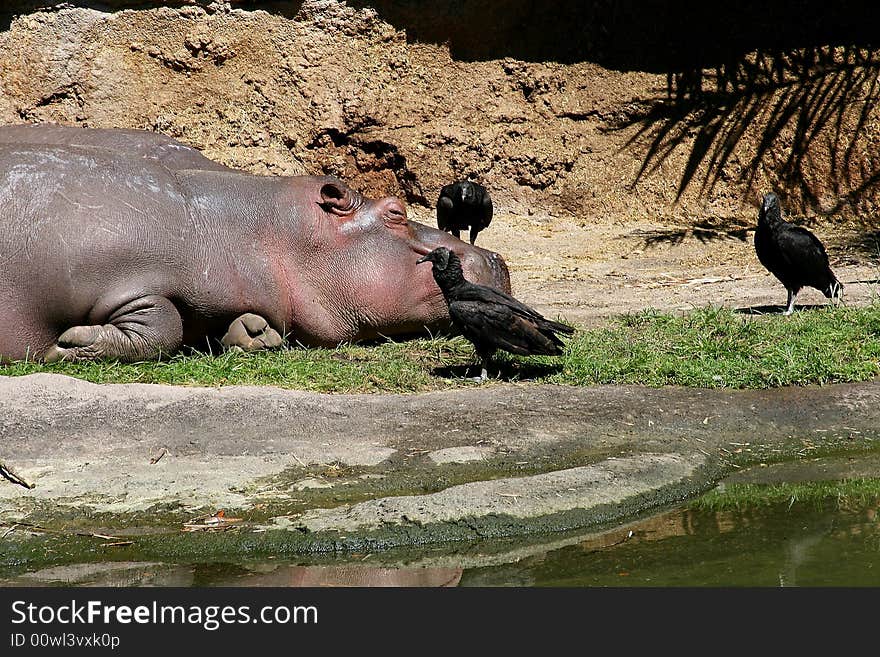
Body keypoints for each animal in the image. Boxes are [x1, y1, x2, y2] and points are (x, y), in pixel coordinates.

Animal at [0, 125, 508, 362]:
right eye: (396, 212)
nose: (496, 257)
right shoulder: (127, 271)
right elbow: (163, 322)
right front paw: (67, 344)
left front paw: (250, 332)